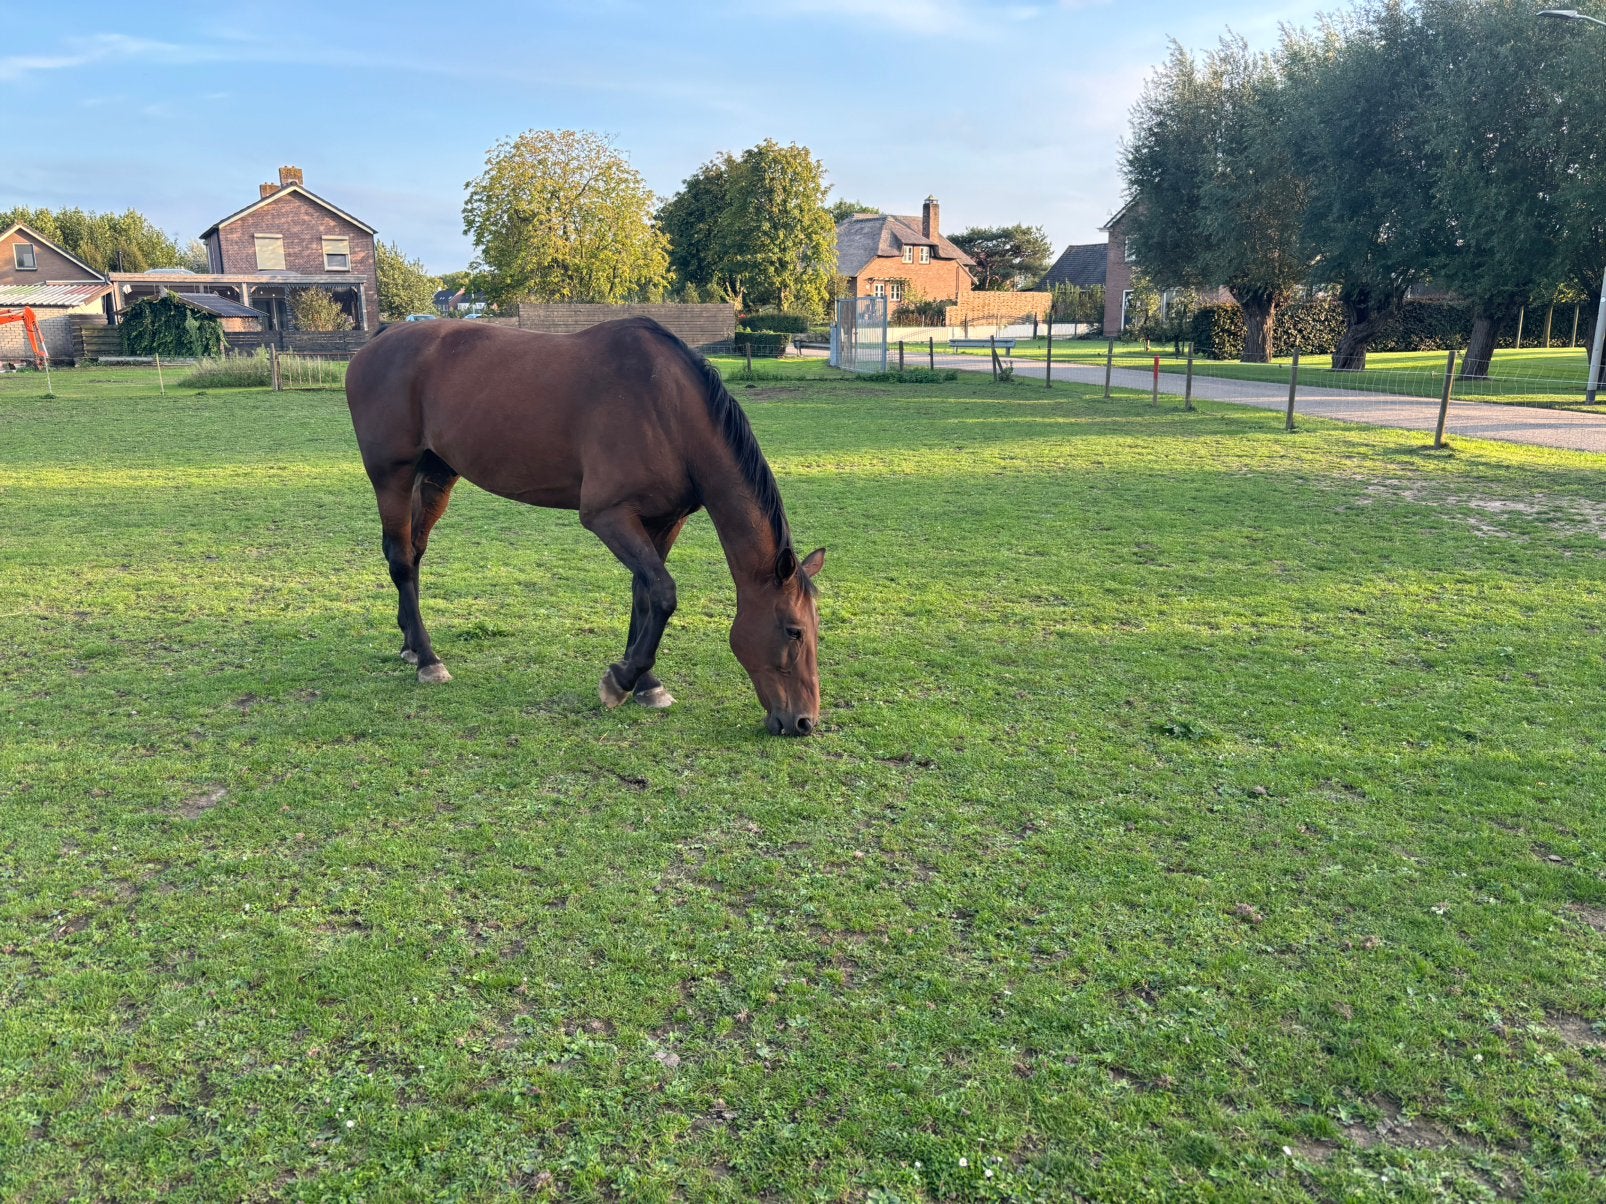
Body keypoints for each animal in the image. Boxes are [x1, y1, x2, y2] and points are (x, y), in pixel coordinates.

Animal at [343, 317, 825, 736]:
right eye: (793, 631)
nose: (804, 722)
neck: (665, 409)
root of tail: (382, 338)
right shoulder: (607, 516)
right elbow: (663, 593)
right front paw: (621, 681)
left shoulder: (664, 521)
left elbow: (645, 594)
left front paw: (647, 684)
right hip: (391, 475)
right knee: (400, 558)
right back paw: (428, 659)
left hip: (437, 473)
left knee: (414, 552)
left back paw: (410, 642)